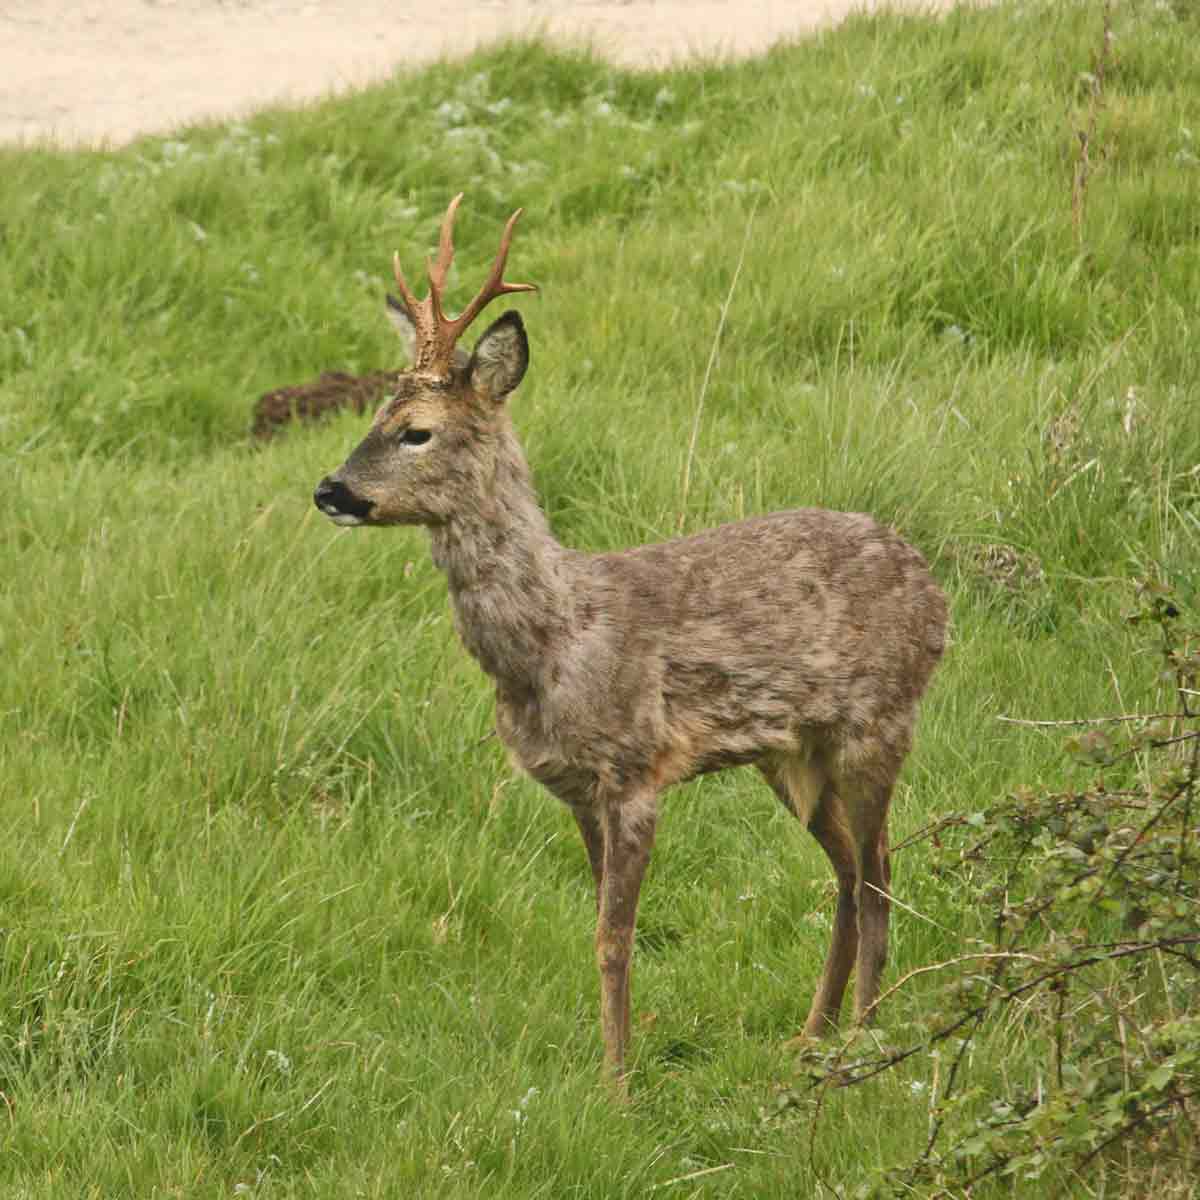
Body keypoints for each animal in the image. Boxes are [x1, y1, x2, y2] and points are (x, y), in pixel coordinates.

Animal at [316, 194, 945, 1089]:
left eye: (417, 431)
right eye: (373, 416)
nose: (330, 490)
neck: (551, 646)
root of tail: (933, 586)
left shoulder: (637, 771)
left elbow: (614, 937)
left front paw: (616, 1085)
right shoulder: (578, 789)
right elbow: (603, 928)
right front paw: (612, 1065)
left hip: (878, 724)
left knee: (882, 873)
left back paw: (862, 1036)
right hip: (793, 757)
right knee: (851, 874)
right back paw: (811, 1035)